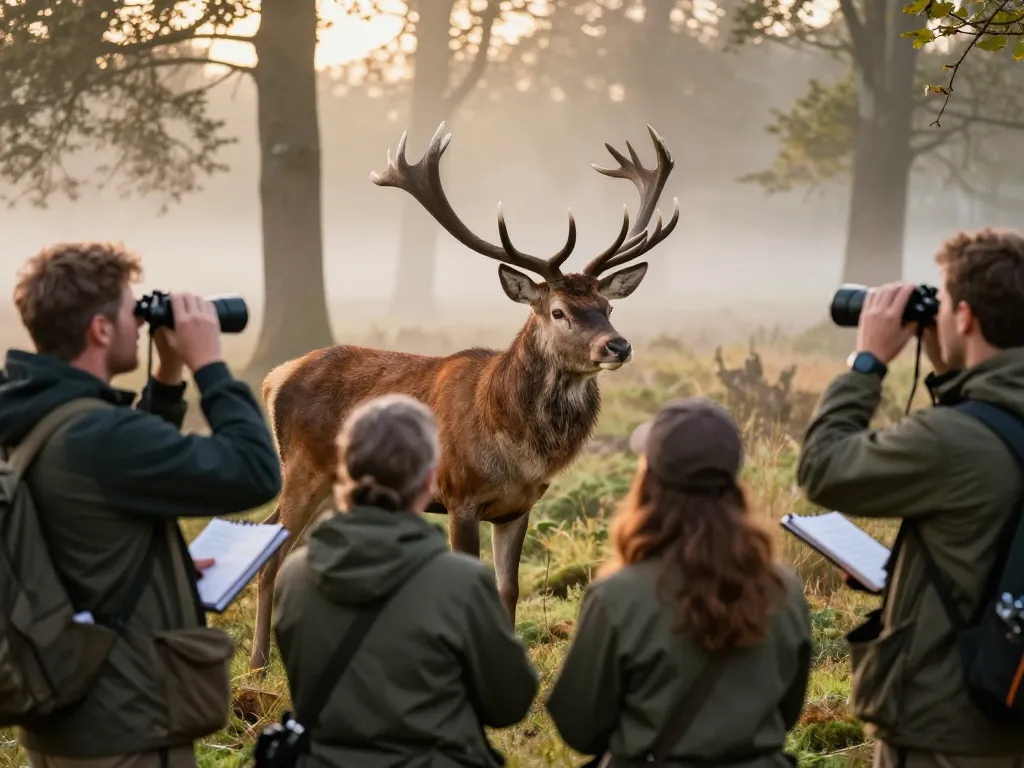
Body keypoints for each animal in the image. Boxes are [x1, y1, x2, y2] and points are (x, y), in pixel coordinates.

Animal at [247, 121, 680, 674]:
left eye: (607, 306)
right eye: (559, 311)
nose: (618, 345)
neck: (514, 441)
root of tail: (274, 377)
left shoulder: (518, 506)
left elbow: (508, 588)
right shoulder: (459, 495)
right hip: (303, 468)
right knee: (272, 550)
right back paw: (259, 663)